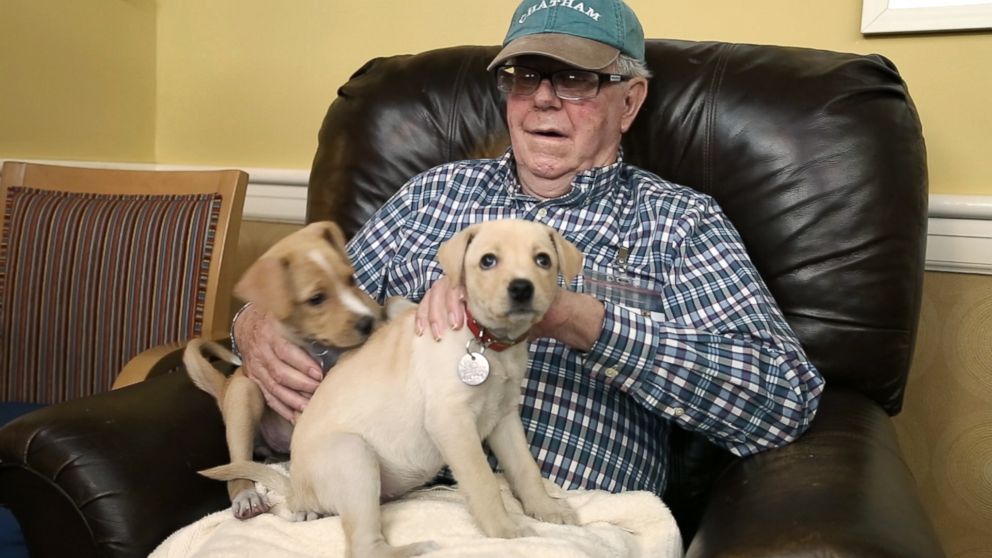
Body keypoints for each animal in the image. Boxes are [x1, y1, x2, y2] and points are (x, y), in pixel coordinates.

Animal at [186, 221, 384, 524]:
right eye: (316, 299)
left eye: (351, 279)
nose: (367, 323)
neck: (323, 350)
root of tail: (227, 386)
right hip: (246, 395)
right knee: (238, 467)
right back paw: (247, 497)